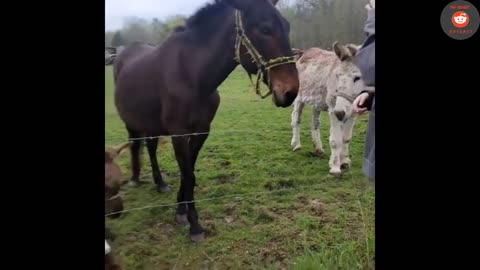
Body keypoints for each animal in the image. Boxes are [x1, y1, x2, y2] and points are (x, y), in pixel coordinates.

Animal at [113, 0, 300, 242]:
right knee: (137, 145)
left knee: (150, 147)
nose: (290, 92)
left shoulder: (202, 131)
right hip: (133, 122)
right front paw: (194, 226)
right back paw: (137, 178)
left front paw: (181, 210)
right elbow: (188, 174)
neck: (192, 74)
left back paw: (160, 183)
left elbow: (189, 172)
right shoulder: (179, 134)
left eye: (286, 26)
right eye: (265, 29)